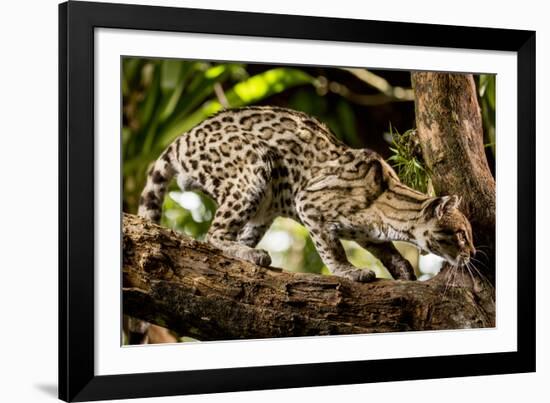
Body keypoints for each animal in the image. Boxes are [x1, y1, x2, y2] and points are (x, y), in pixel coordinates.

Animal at [139, 107, 478, 284]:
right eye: (462, 235)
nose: (473, 253)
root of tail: (181, 139)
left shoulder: (368, 231)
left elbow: (384, 248)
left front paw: (403, 269)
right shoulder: (309, 204)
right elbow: (332, 249)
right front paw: (349, 271)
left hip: (264, 207)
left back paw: (247, 251)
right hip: (254, 165)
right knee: (214, 235)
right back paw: (246, 252)